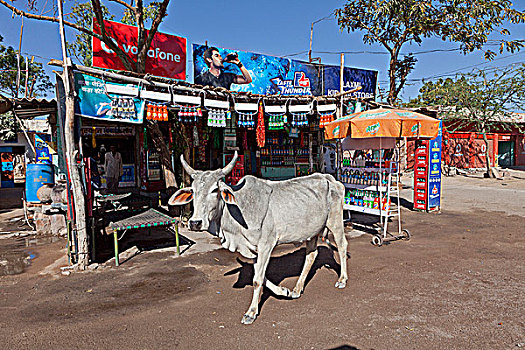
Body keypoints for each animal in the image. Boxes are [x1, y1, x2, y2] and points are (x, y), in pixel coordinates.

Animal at [169, 152, 348, 324]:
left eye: (215, 190)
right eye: (193, 191)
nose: (195, 222)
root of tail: (330, 178)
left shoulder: (265, 246)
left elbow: (257, 279)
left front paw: (251, 313)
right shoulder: (253, 249)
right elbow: (261, 276)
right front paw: (284, 291)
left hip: (335, 222)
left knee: (341, 246)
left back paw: (342, 279)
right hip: (311, 232)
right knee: (311, 255)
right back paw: (297, 289)